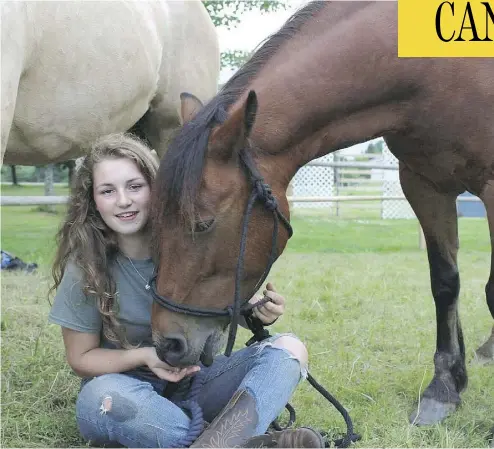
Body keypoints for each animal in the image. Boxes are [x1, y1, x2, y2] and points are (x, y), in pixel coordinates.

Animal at [151, 0, 494, 428]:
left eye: (203, 223)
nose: (167, 342)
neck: (433, 72)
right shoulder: (423, 183)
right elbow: (445, 283)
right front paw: (444, 387)